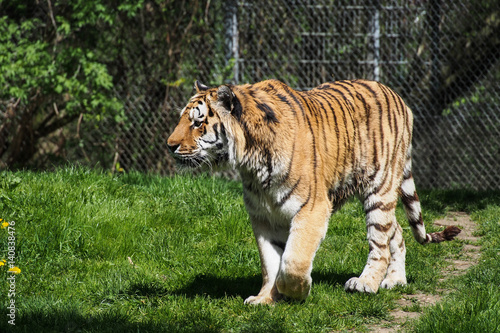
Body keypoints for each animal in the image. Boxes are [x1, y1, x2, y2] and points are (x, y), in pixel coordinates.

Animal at [168, 78, 460, 304]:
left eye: (198, 123)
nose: (169, 145)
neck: (250, 162)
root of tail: (398, 97)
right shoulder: (263, 217)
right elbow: (270, 262)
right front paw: (265, 299)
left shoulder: (312, 208)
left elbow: (292, 261)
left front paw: (297, 291)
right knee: (396, 231)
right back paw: (395, 279)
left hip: (380, 188)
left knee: (380, 242)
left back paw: (366, 284)